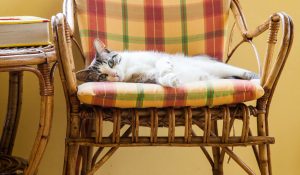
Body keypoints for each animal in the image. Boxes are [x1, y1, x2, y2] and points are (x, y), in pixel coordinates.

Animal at [75, 38, 258, 87]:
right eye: (102, 77)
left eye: (111, 63)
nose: (114, 74)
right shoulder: (146, 78)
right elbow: (161, 77)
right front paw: (173, 80)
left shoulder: (158, 58)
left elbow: (162, 64)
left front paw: (169, 71)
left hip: (216, 66)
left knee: (240, 71)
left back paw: (256, 78)